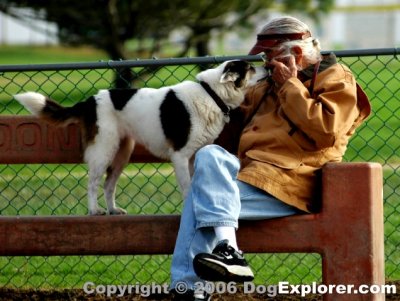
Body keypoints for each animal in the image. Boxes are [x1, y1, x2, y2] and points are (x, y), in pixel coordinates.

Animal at [14, 59, 266, 214]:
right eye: (251, 68)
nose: (267, 65)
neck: (212, 93)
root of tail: (90, 100)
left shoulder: (194, 156)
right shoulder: (180, 156)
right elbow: (187, 187)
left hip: (122, 153)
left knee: (109, 185)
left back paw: (113, 209)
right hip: (104, 150)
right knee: (93, 183)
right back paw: (94, 210)